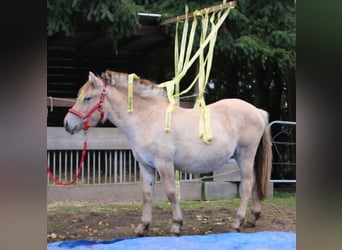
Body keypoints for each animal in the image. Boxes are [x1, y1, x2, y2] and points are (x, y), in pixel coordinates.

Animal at [63, 69, 272, 235]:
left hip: (245, 155)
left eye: (88, 98)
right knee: (254, 183)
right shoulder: (145, 165)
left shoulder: (164, 164)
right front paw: (142, 227)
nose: (67, 124)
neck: (147, 118)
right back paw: (252, 219)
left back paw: (237, 222)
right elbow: (147, 194)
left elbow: (171, 193)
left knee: (247, 185)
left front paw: (176, 225)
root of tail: (257, 111)